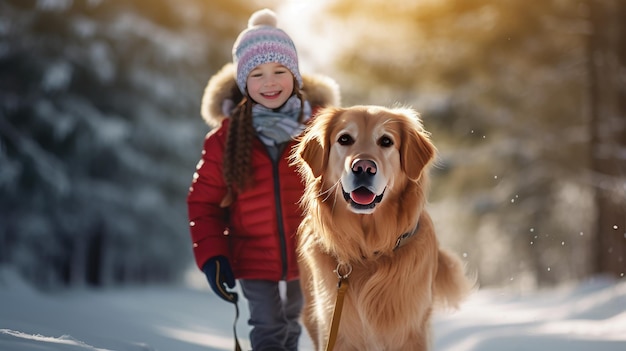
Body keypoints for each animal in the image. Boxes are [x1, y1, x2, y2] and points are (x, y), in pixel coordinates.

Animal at [290, 106, 470, 350]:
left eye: (386, 141)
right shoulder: (335, 329)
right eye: (344, 139)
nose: (364, 167)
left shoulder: (411, 331)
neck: (369, 250)